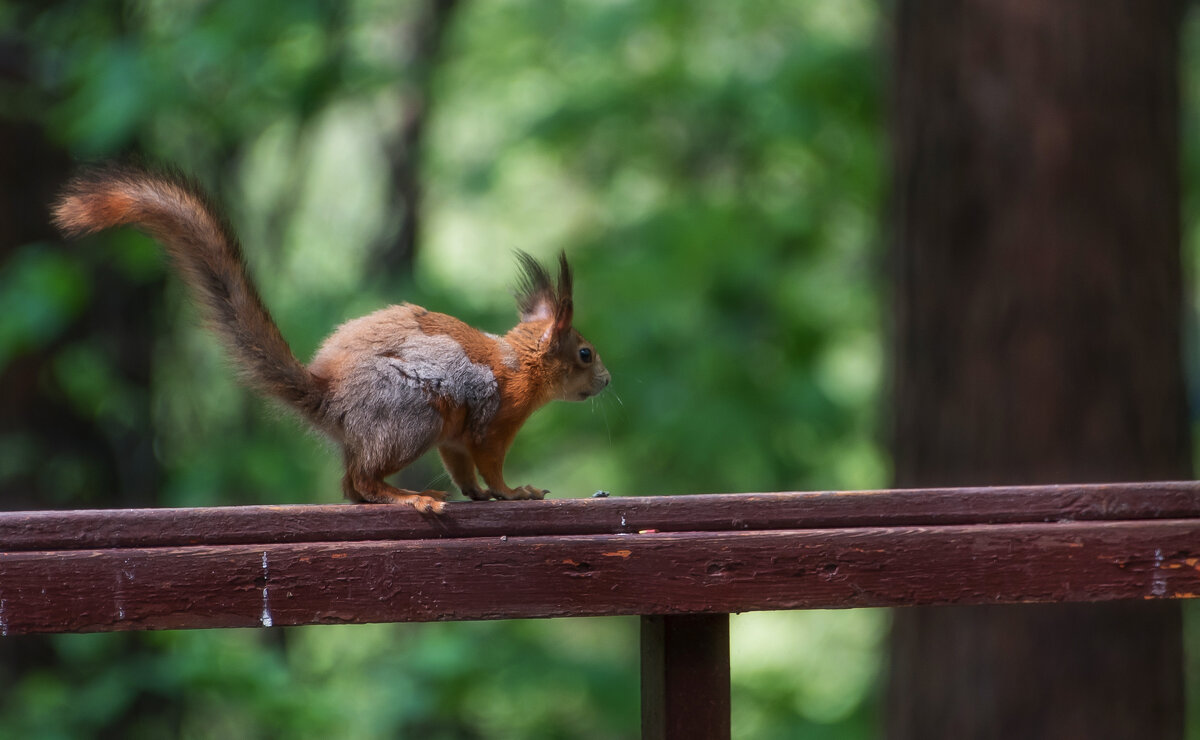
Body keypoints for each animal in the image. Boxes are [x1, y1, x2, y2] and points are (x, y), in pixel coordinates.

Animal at [52, 164, 609, 510]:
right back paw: (411, 499)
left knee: (353, 485)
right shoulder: (492, 426)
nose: (606, 381)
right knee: (358, 482)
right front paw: (514, 492)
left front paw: (480, 495)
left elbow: (463, 471)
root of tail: (332, 396)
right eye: (584, 353)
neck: (521, 366)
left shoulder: (455, 439)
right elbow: (489, 466)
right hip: (414, 416)